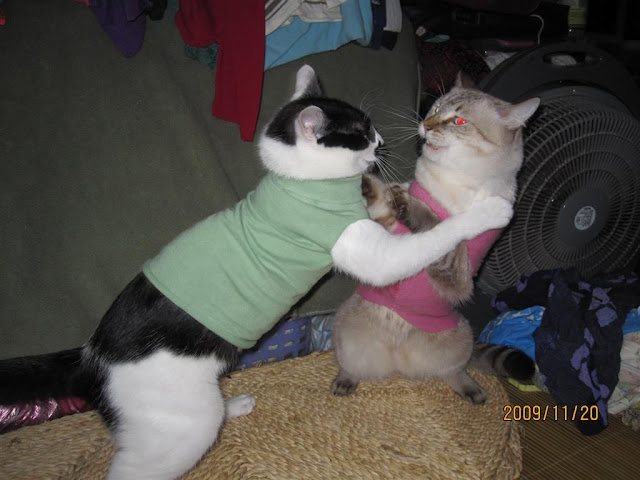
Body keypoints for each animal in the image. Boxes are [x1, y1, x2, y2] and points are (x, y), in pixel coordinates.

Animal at [0, 66, 514, 480]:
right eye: (362, 134)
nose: (383, 142)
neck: (300, 183)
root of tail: (91, 355)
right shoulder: (370, 252)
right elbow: (431, 238)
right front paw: (487, 210)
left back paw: (234, 405)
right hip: (178, 427)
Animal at [331, 72, 540, 404]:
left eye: (459, 121)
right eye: (435, 108)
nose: (426, 125)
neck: (457, 185)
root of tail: (398, 364)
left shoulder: (459, 275)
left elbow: (437, 224)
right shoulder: (384, 224)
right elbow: (381, 193)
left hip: (461, 338)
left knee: (454, 371)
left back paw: (474, 392)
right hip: (346, 330)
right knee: (351, 367)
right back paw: (344, 382)